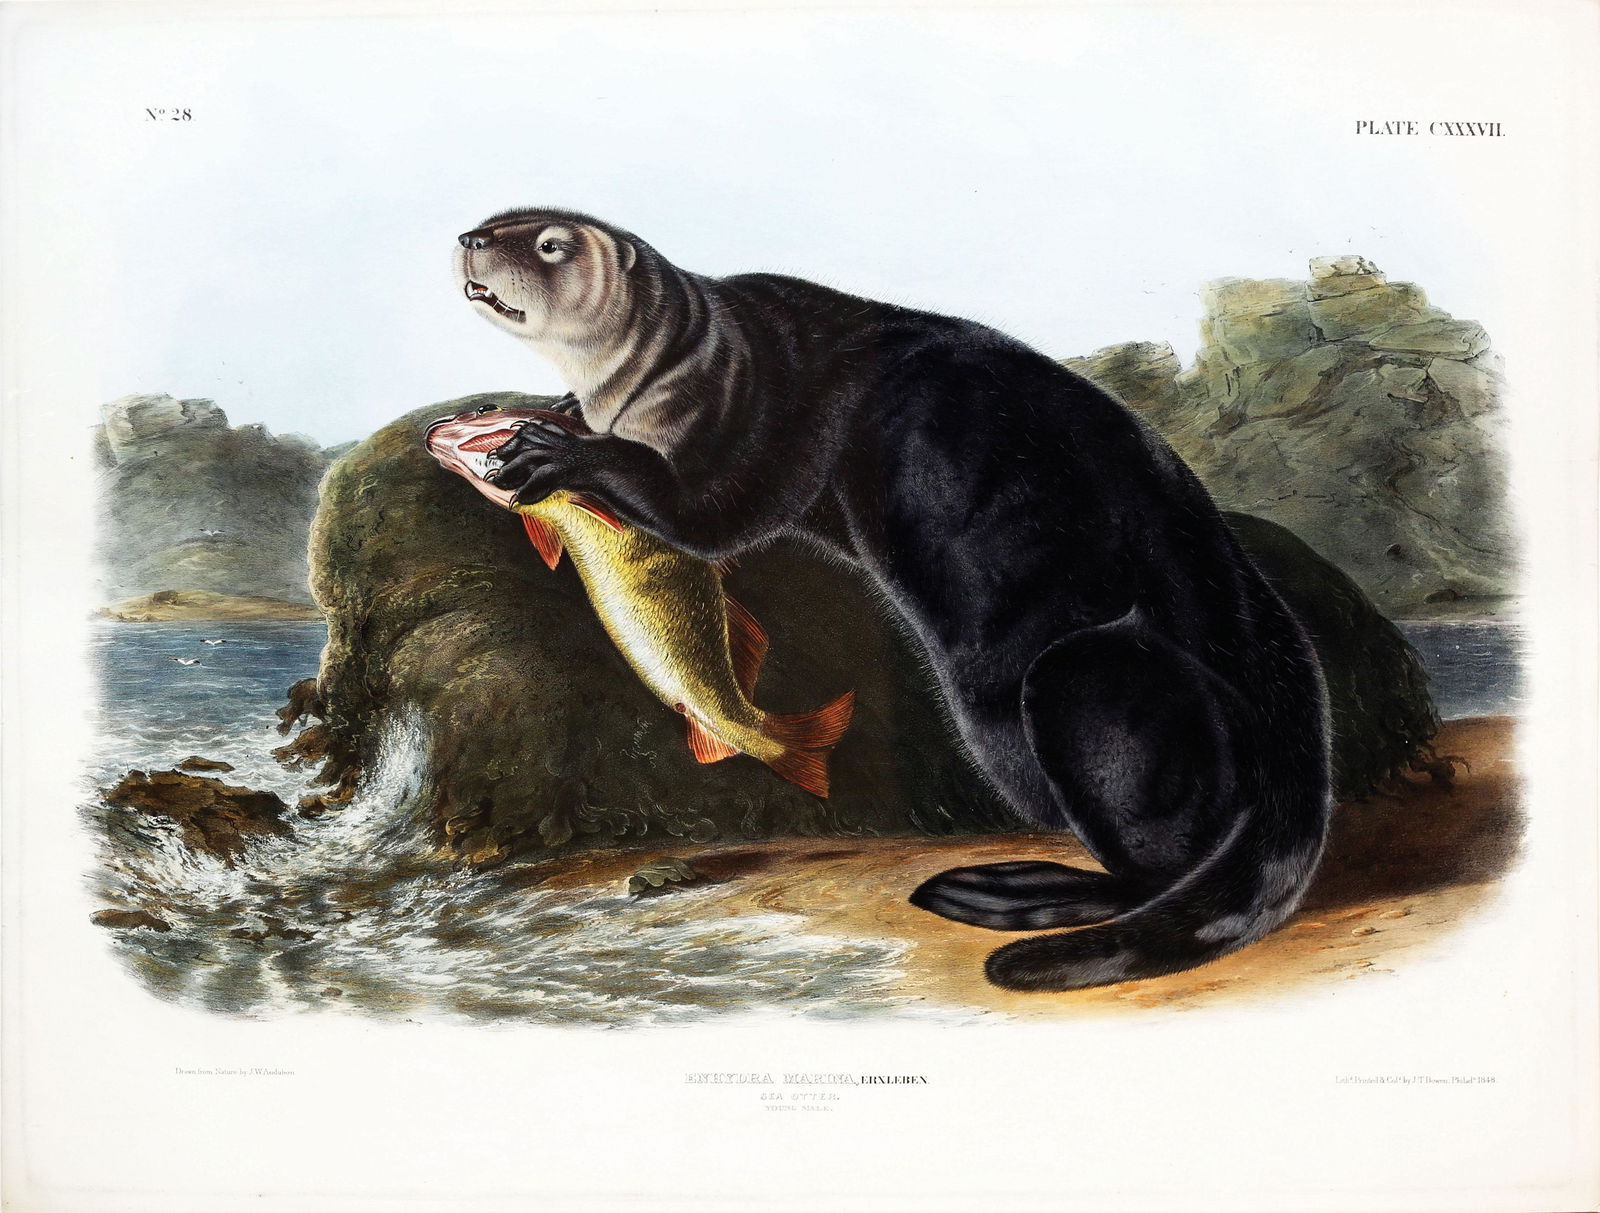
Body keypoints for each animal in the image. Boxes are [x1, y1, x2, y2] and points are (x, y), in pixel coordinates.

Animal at [453, 207, 1332, 992]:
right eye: (503, 219)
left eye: (550, 243)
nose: (470, 238)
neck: (696, 361)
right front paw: (558, 413)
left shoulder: (762, 418)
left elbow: (713, 515)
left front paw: (552, 450)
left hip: (1089, 677)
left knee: (1156, 859)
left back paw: (1013, 888)